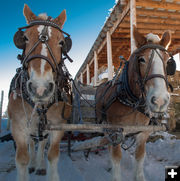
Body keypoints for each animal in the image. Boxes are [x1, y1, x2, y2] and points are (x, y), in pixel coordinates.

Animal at [7, 4, 71, 181]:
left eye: (61, 42)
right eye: (25, 38)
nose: (40, 88)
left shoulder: (57, 126)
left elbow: (52, 155)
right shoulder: (18, 126)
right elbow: (22, 158)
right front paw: (28, 164)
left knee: (41, 143)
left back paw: (40, 165)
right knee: (31, 143)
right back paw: (33, 164)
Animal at [96, 27, 175, 181]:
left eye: (168, 61)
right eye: (141, 59)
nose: (160, 100)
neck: (131, 101)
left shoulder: (142, 133)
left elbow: (139, 156)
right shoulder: (116, 131)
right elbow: (116, 157)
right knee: (108, 144)